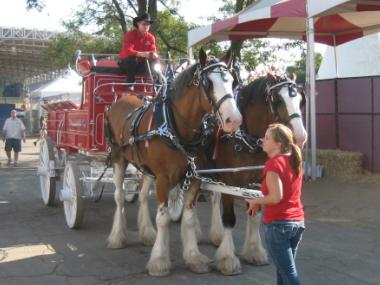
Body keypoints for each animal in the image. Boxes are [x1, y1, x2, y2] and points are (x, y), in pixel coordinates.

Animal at [107, 48, 242, 276]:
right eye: (208, 83)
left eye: (233, 81)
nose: (234, 120)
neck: (177, 127)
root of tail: (122, 98)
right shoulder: (163, 179)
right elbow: (164, 219)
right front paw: (159, 260)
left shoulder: (194, 178)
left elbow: (187, 219)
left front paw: (194, 257)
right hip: (118, 158)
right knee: (118, 196)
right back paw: (117, 237)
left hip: (145, 168)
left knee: (142, 195)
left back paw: (147, 234)